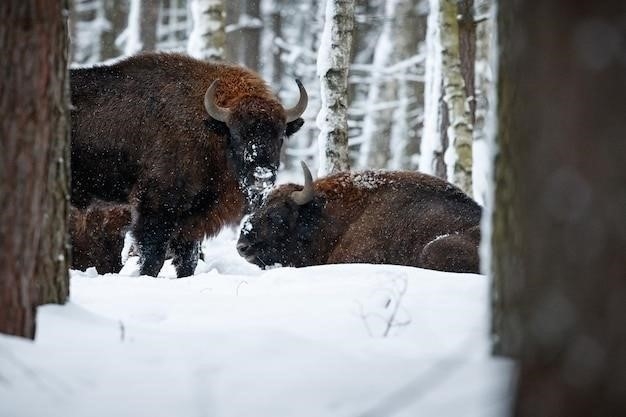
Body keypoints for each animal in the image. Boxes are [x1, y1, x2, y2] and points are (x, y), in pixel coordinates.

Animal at [70, 53, 308, 278]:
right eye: (236, 135)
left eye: (280, 136)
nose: (262, 176)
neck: (210, 128)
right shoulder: (156, 208)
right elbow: (153, 256)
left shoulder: (194, 219)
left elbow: (188, 258)